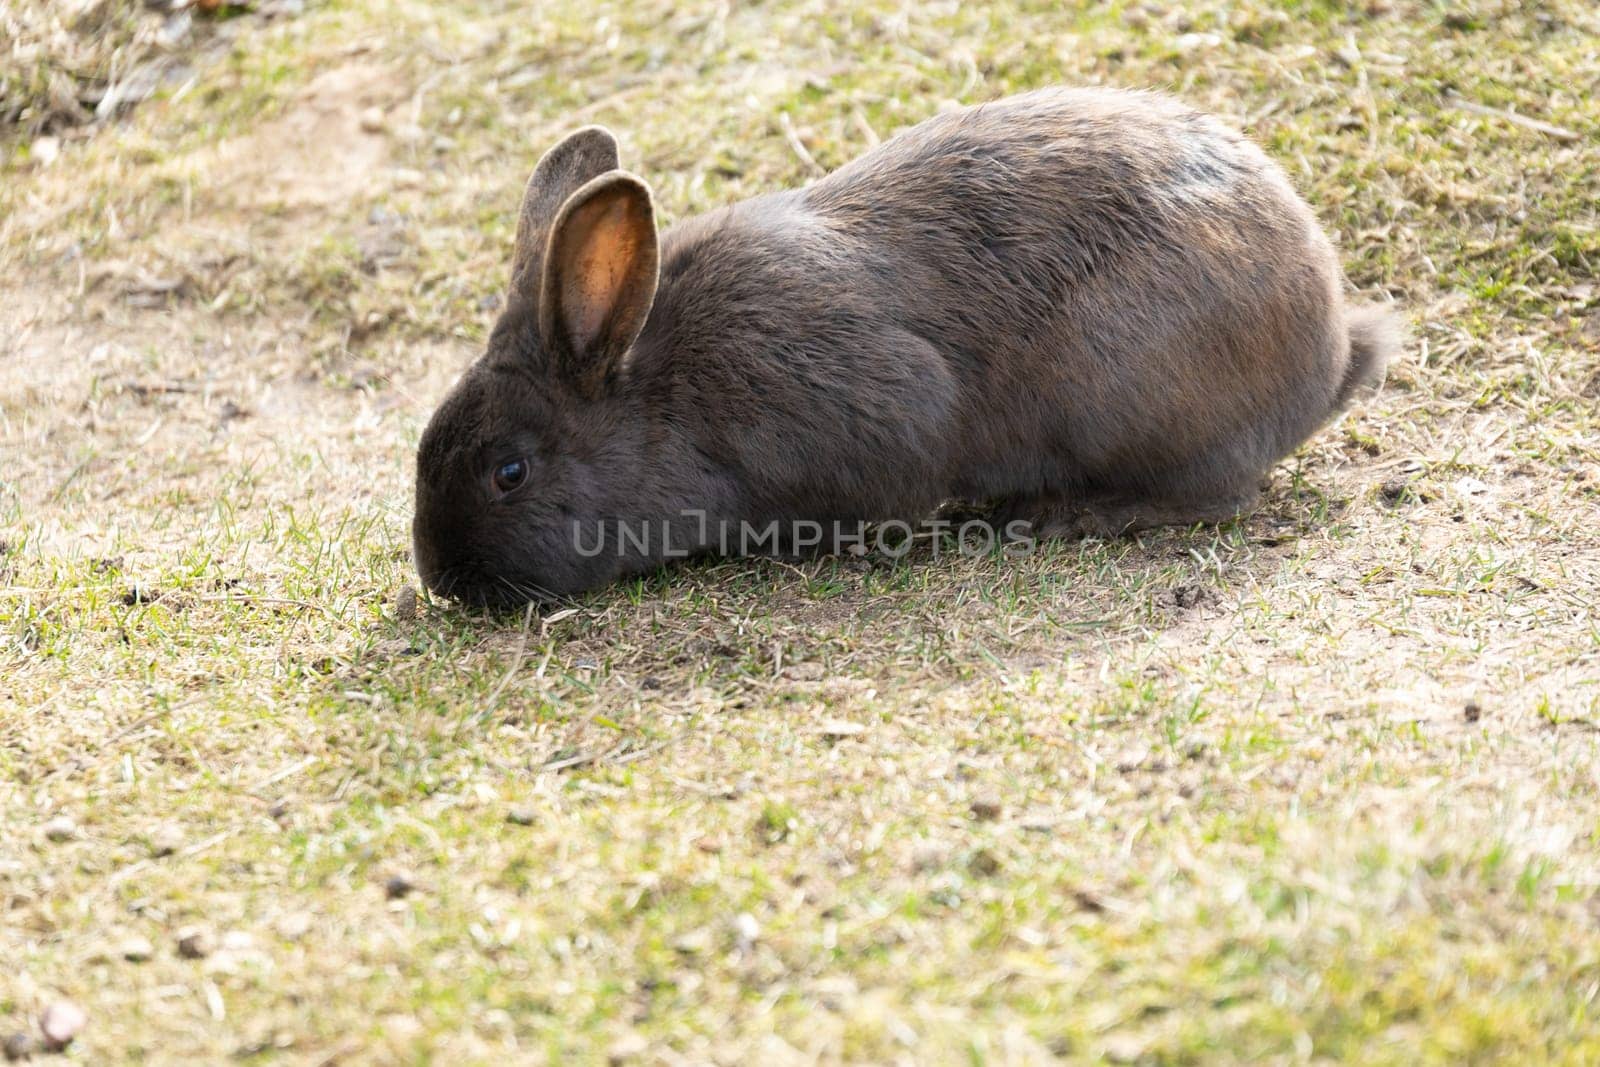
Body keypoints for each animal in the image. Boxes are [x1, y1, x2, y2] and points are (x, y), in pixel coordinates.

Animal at [416, 87, 1401, 604]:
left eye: (510, 473)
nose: (441, 575)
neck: (652, 402)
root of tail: (1327, 353)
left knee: (1211, 493)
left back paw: (1059, 515)